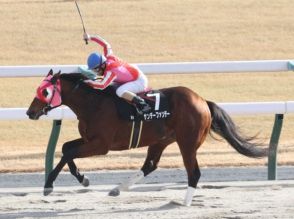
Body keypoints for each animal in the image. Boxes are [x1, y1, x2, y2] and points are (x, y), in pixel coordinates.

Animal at [26, 69, 268, 206]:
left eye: (44, 92)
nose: (30, 112)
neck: (93, 104)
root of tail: (202, 101)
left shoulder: (101, 145)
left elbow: (69, 153)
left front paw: (49, 185)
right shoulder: (89, 139)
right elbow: (66, 148)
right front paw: (82, 178)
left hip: (187, 142)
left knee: (194, 172)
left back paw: (184, 203)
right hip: (161, 140)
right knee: (150, 165)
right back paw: (117, 189)